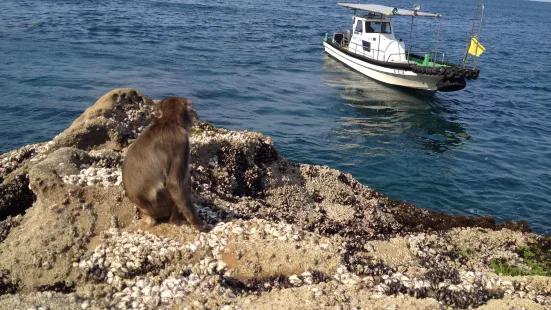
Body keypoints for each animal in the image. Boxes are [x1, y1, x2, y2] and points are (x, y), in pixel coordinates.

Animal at [122, 97, 208, 232]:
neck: (168, 122)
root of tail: (148, 214)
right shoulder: (181, 141)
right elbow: (174, 184)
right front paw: (198, 224)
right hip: (161, 204)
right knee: (184, 182)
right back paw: (175, 220)